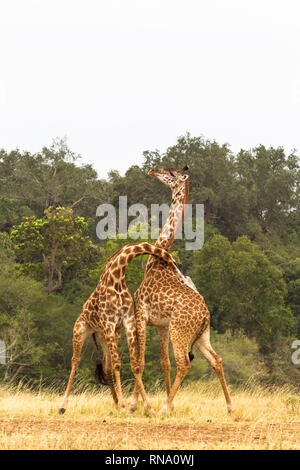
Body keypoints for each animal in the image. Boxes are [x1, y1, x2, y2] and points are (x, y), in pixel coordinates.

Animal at [58, 241, 178, 414]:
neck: (117, 278)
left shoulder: (128, 323)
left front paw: (146, 407)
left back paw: (115, 401)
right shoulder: (109, 323)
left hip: (106, 336)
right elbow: (117, 363)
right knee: (75, 361)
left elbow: (134, 365)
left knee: (106, 365)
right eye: (171, 264)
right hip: (80, 331)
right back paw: (62, 406)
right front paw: (124, 406)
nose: (176, 270)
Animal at [129, 167, 232, 414]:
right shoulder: (161, 324)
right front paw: (167, 402)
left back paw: (164, 408)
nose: (152, 170)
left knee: (184, 363)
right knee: (216, 360)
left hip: (180, 331)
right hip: (202, 335)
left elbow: (141, 361)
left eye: (170, 172)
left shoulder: (142, 315)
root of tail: (205, 316)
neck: (156, 259)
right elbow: (164, 363)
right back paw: (230, 407)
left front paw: (137, 405)